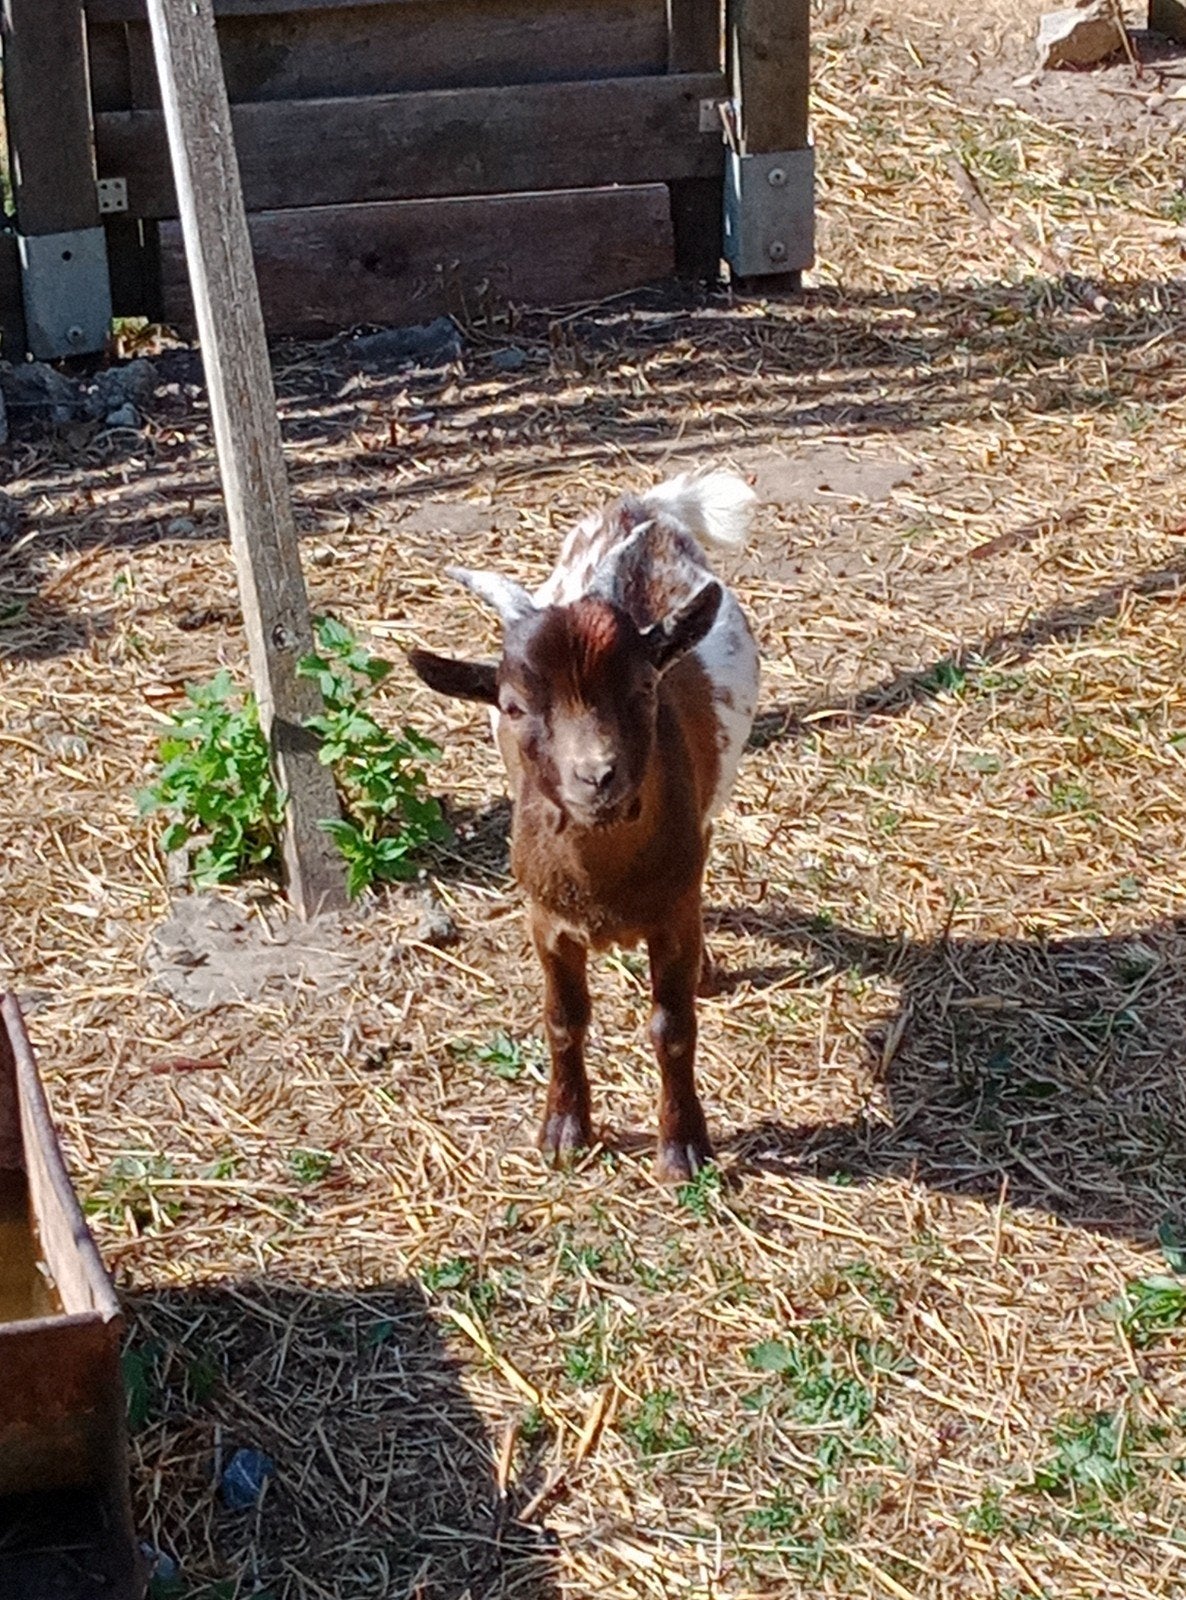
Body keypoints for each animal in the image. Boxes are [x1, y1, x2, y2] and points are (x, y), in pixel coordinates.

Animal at [409, 471, 759, 1180]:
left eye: (645, 688)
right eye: (514, 706)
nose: (595, 775)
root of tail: (639, 508)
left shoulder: (672, 914)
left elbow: (672, 1027)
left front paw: (683, 1147)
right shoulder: (546, 922)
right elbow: (563, 1019)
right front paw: (564, 1131)